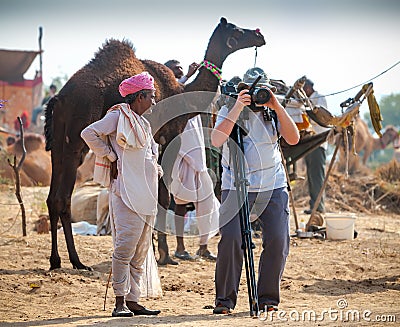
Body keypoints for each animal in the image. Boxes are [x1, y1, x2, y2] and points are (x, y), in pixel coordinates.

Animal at [44, 16, 266, 270]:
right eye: (237, 30)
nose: (259, 35)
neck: (183, 92)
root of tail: (59, 98)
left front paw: (151, 248)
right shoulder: (170, 136)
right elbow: (163, 196)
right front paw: (164, 255)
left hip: (58, 144)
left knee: (53, 197)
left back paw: (56, 260)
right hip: (74, 142)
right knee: (63, 198)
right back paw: (76, 261)